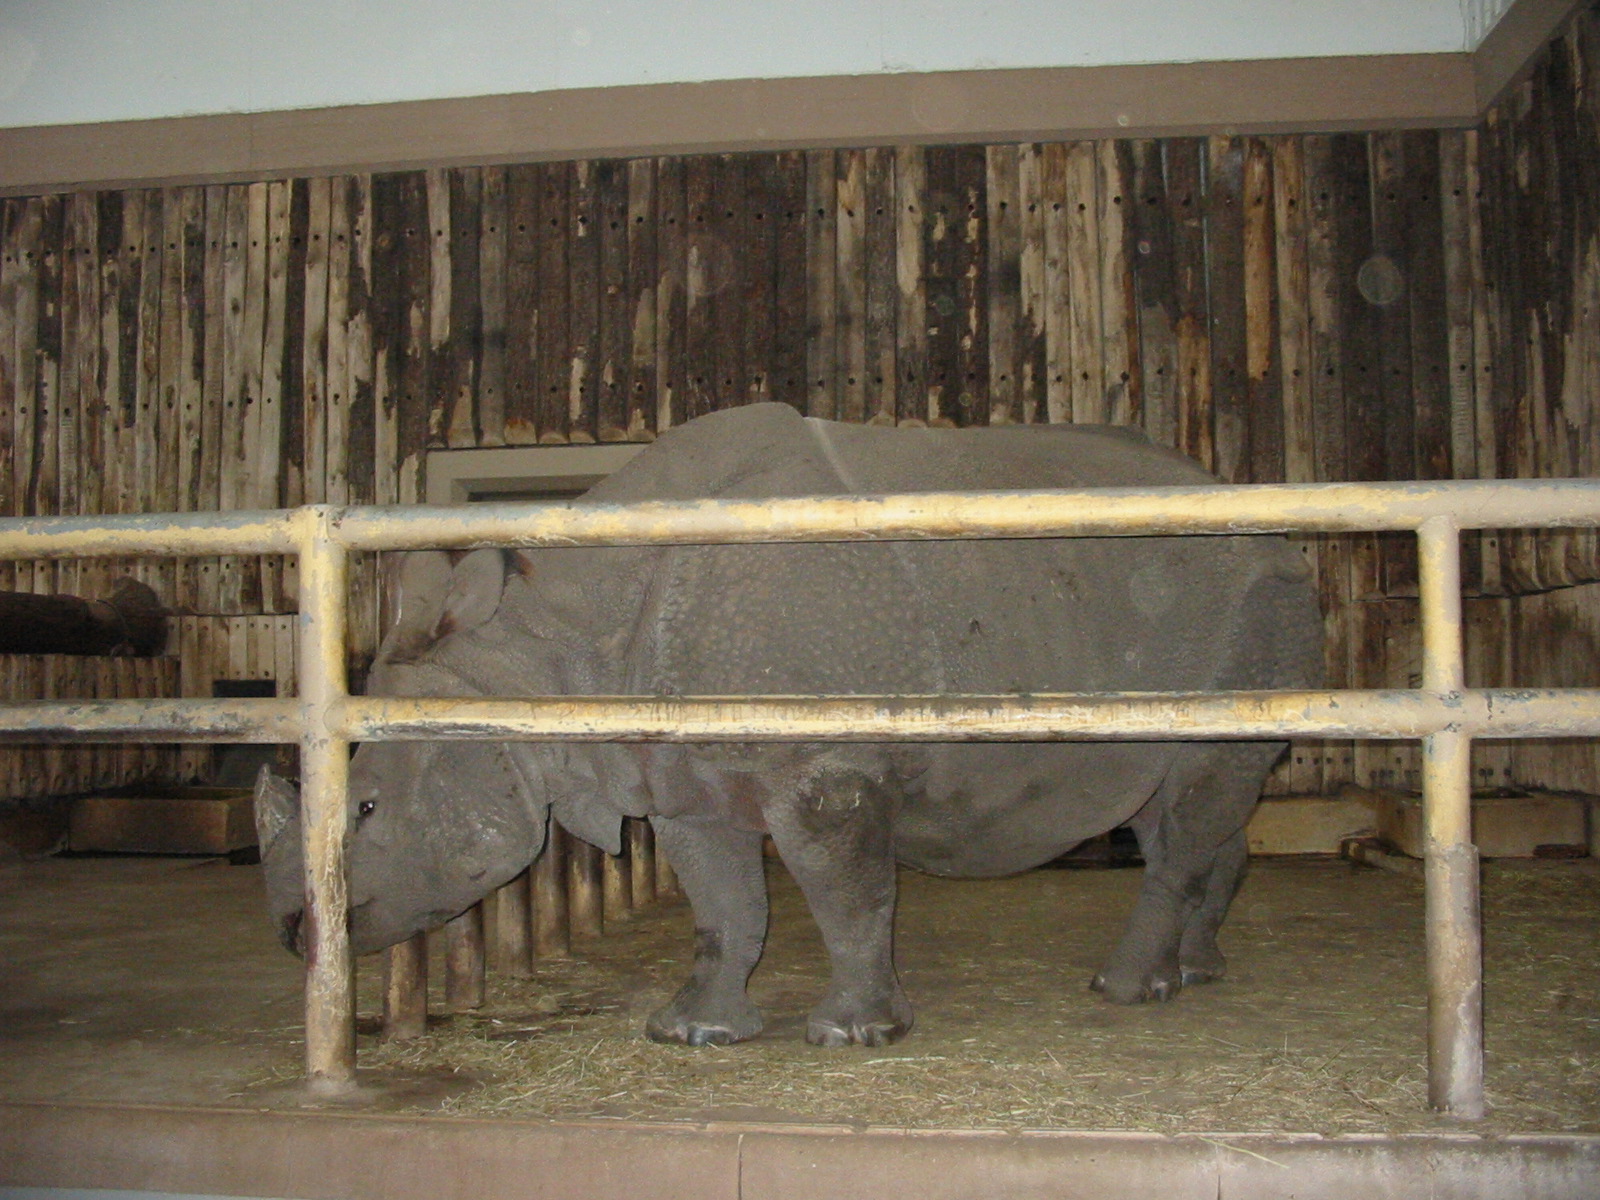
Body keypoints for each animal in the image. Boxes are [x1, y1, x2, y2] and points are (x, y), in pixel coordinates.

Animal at [256, 402, 1322, 1047]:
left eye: (366, 807)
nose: (295, 934)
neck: (544, 657)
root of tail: (1280, 534)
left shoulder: (822, 761)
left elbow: (847, 896)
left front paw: (854, 1037)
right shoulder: (679, 772)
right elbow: (723, 905)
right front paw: (691, 1032)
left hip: (1253, 595)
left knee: (1200, 789)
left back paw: (1126, 992)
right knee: (1183, 797)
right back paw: (1197, 973)